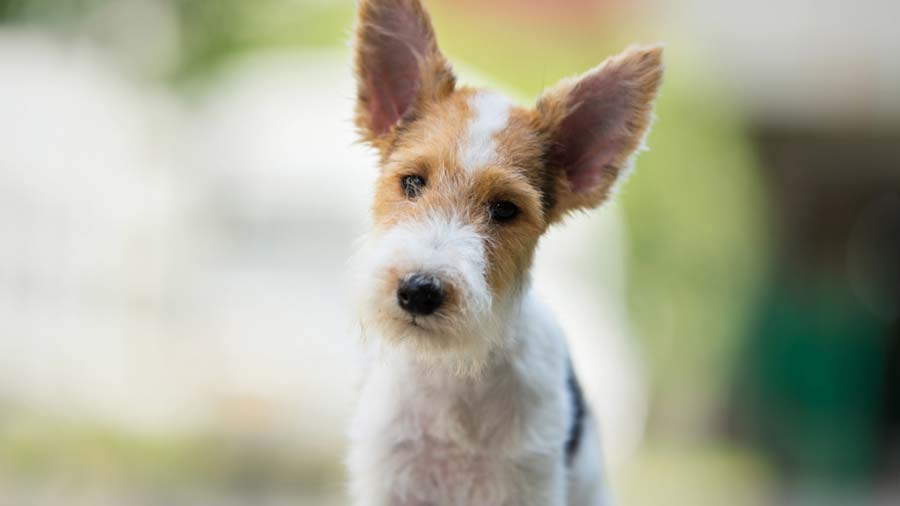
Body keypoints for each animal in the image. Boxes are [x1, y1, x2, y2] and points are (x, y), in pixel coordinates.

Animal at [344, 1, 660, 504]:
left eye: (506, 209)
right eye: (412, 182)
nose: (419, 291)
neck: (453, 372)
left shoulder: (528, 484)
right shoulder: (387, 481)